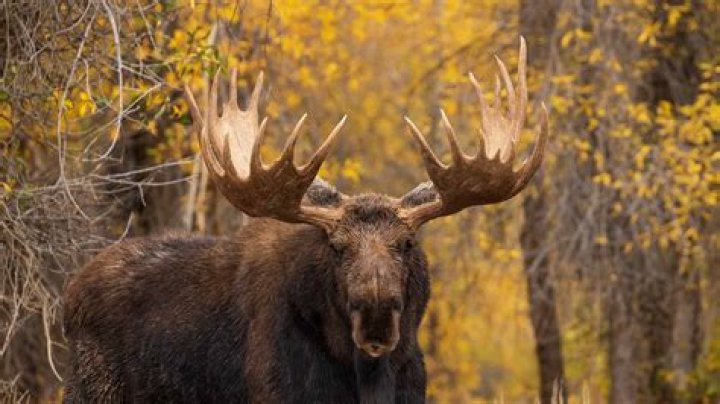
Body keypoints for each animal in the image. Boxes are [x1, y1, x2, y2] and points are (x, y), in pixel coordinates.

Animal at [63, 38, 547, 403]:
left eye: (407, 243)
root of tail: (69, 298)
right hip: (91, 390)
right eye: (336, 247)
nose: (376, 315)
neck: (364, 379)